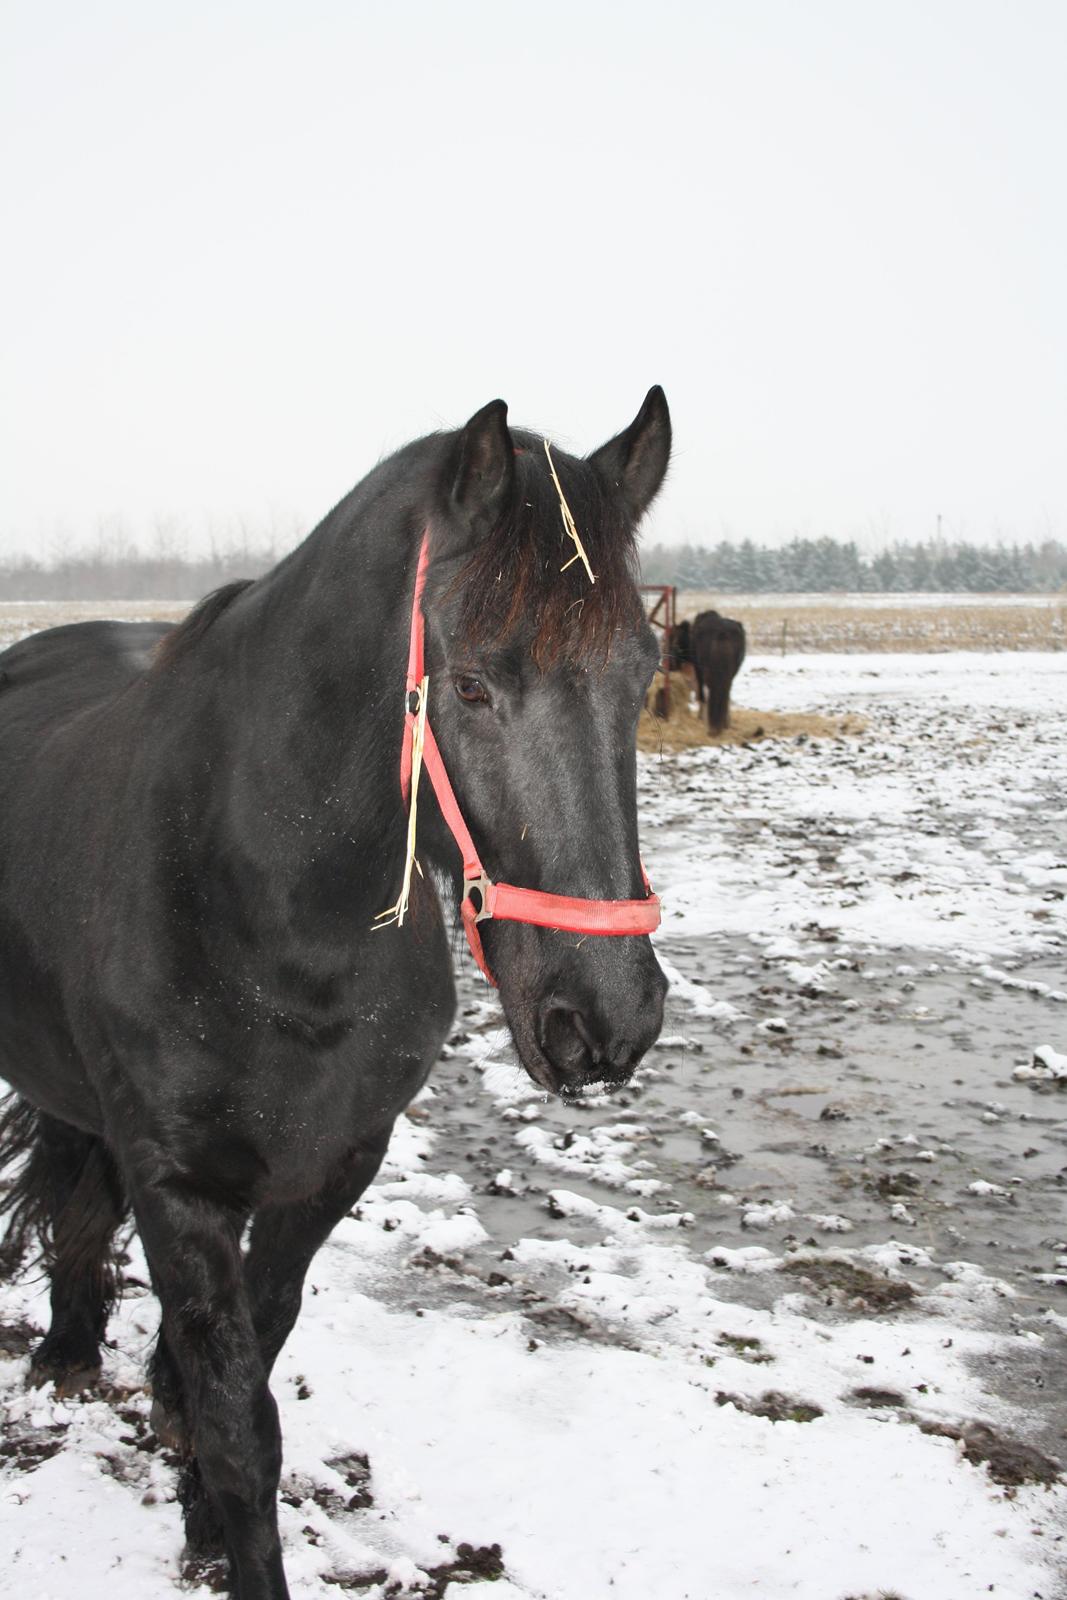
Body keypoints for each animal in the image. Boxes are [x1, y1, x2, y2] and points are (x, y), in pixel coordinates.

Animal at [0, 390, 668, 1600]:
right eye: (469, 682)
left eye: (643, 673)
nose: (607, 1019)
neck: (269, 913)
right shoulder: (183, 1188)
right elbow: (238, 1420)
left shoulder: (331, 1169)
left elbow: (246, 1367)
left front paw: (199, 1519)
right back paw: (67, 1353)